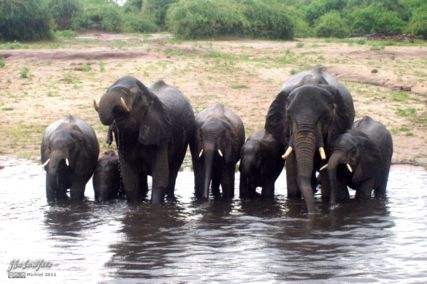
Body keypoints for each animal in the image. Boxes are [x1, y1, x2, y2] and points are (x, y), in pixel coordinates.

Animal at [95, 76, 196, 204]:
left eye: (135, 95)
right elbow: (129, 179)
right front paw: (134, 205)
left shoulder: (161, 134)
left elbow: (160, 177)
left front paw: (155, 206)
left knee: (173, 172)